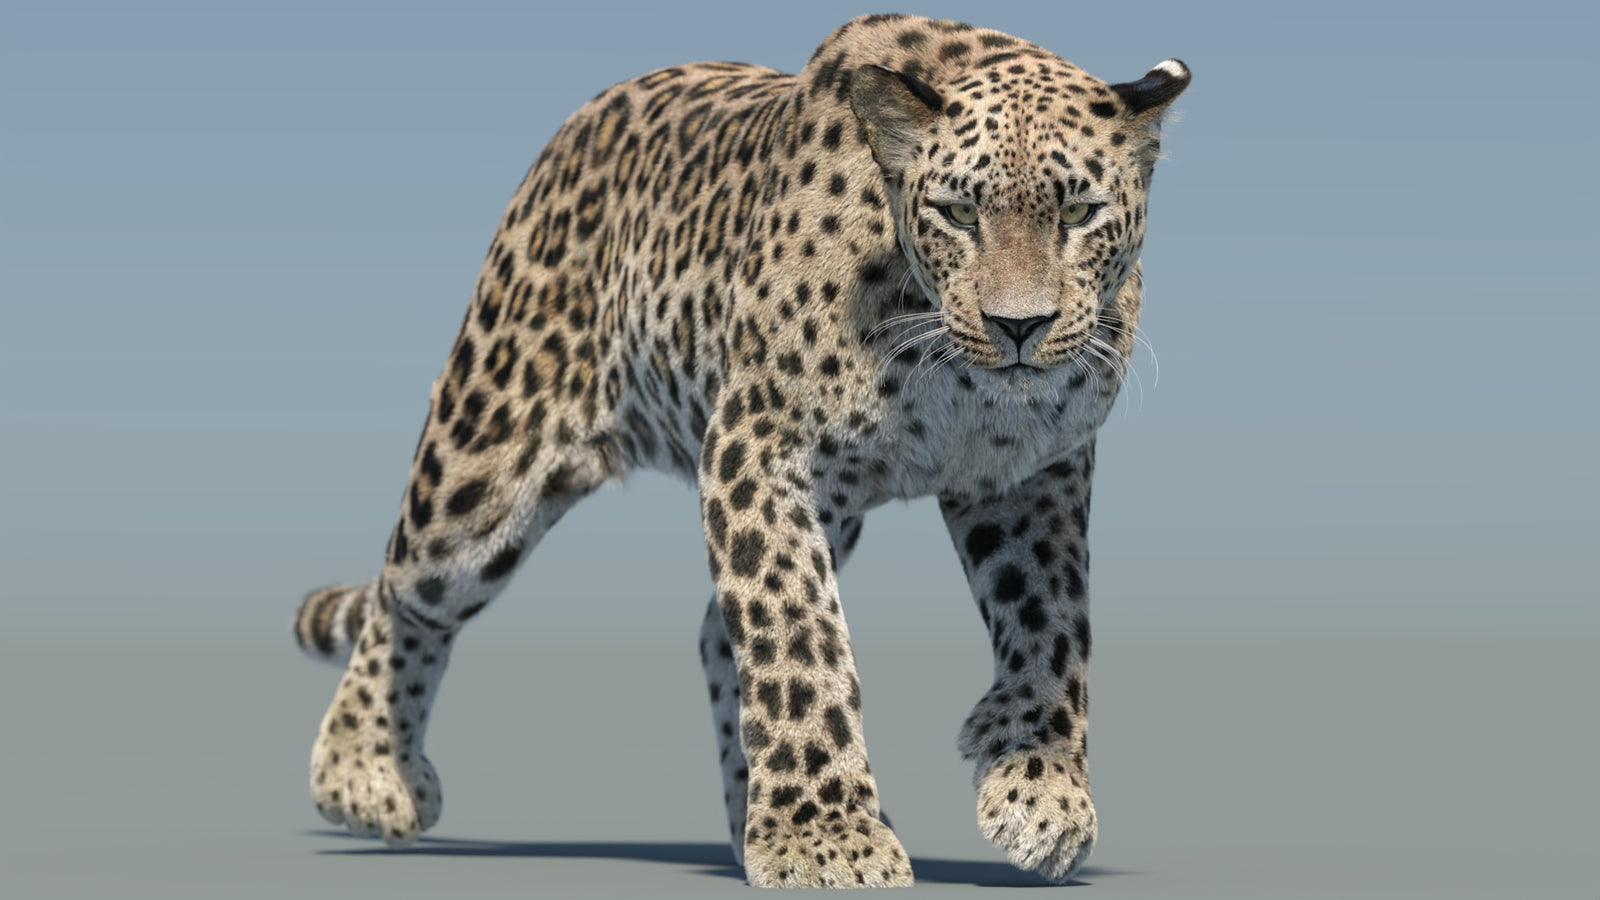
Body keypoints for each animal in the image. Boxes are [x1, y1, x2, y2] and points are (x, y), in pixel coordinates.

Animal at [292, 13, 1188, 888]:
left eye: (1079, 213)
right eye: (959, 214)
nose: (1019, 326)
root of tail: (577, 124)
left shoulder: (1029, 471)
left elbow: (1053, 618)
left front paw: (1040, 786)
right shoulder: (758, 444)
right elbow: (794, 630)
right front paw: (826, 839)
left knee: (710, 634)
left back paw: (743, 816)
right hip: (485, 466)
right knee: (406, 588)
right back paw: (363, 771)